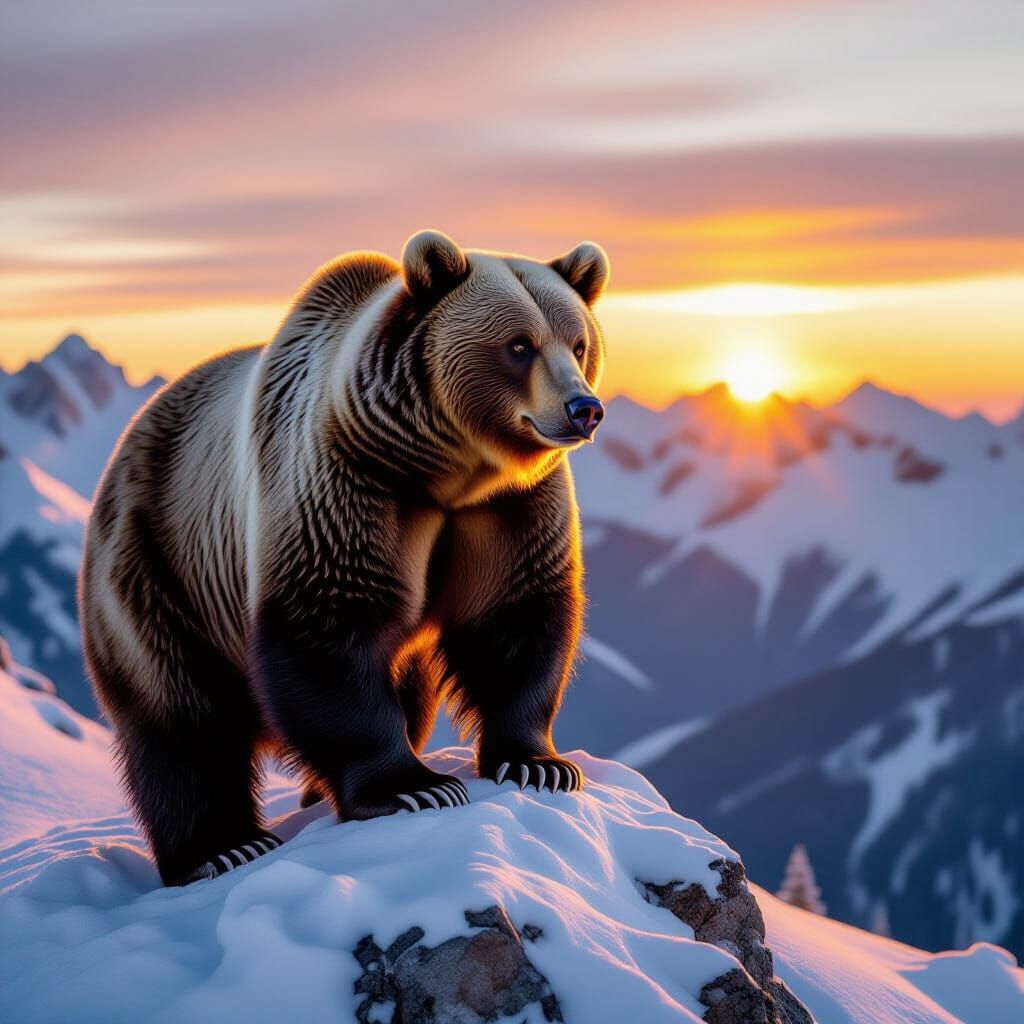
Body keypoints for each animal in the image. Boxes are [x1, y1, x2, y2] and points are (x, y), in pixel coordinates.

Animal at [80, 230, 609, 885]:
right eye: (518, 345)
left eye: (579, 343)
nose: (583, 408)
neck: (447, 473)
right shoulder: (346, 483)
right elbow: (328, 630)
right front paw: (415, 786)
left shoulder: (510, 509)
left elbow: (516, 620)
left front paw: (539, 764)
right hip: (156, 565)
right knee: (182, 720)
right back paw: (222, 848)